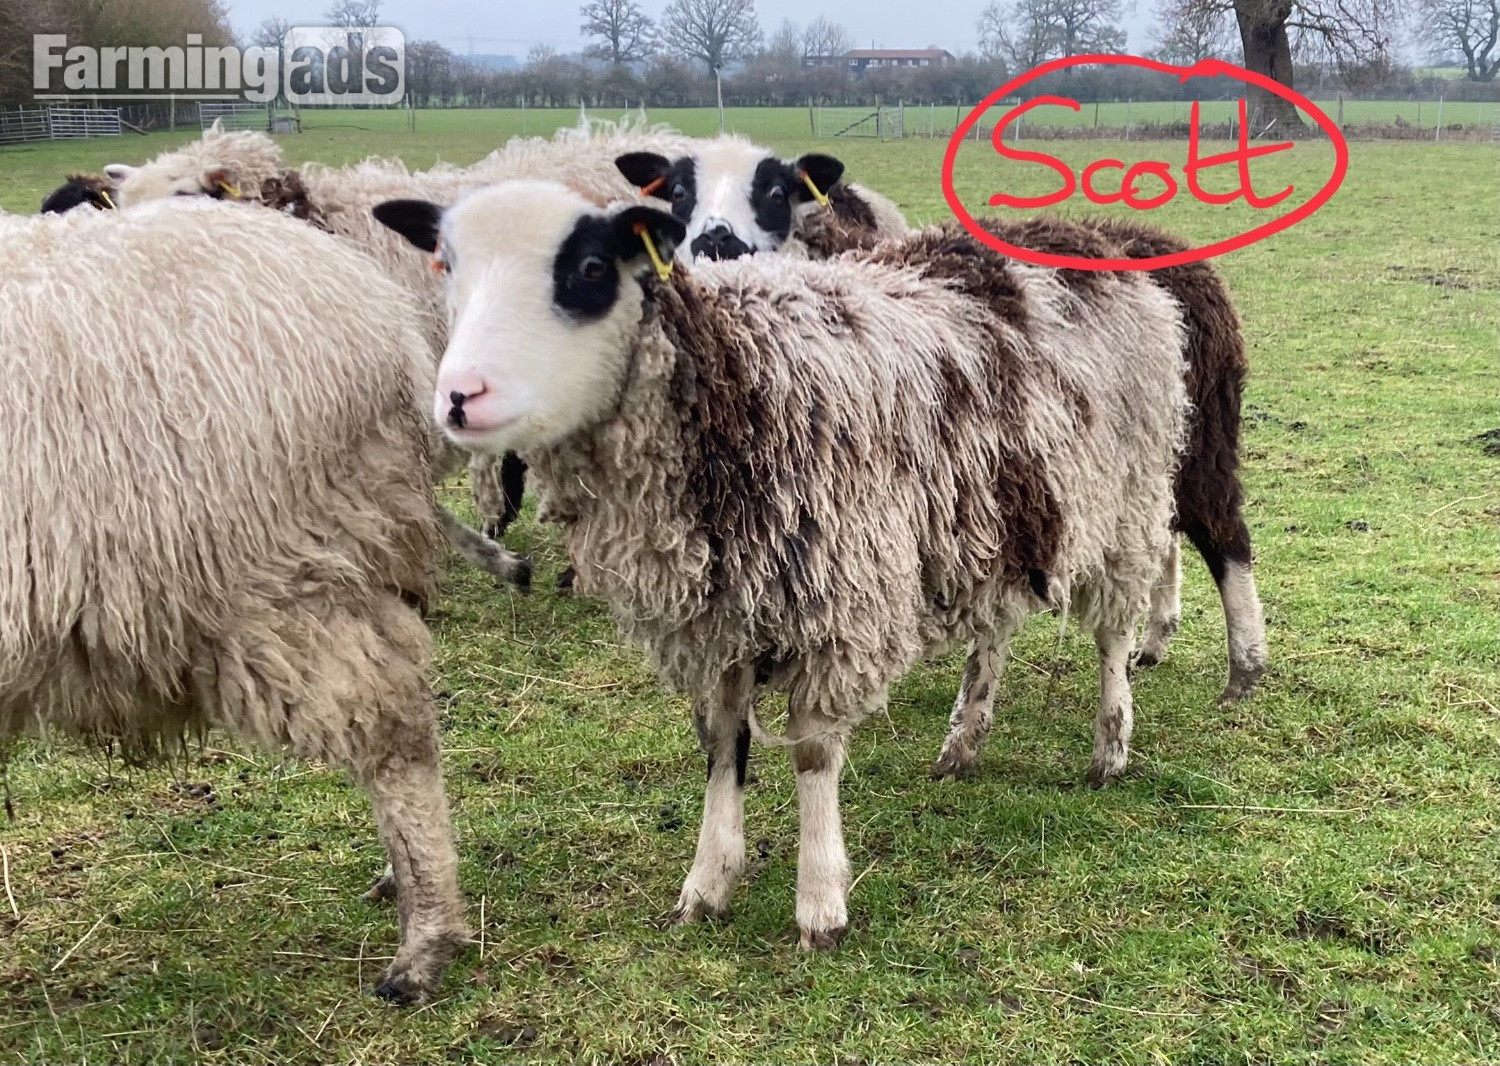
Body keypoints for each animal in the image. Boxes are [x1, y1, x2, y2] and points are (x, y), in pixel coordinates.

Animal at [373, 180, 1188, 948]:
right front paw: (707, 884)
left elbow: (814, 756)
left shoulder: (838, 603)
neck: (734, 383)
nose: (459, 397)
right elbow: (721, 748)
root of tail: (1083, 234)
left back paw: (1111, 743)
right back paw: (964, 741)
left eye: (591, 268)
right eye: (446, 266)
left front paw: (821, 904)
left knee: (1113, 630)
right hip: (998, 514)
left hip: (1126, 495)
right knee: (996, 630)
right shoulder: (718, 622)